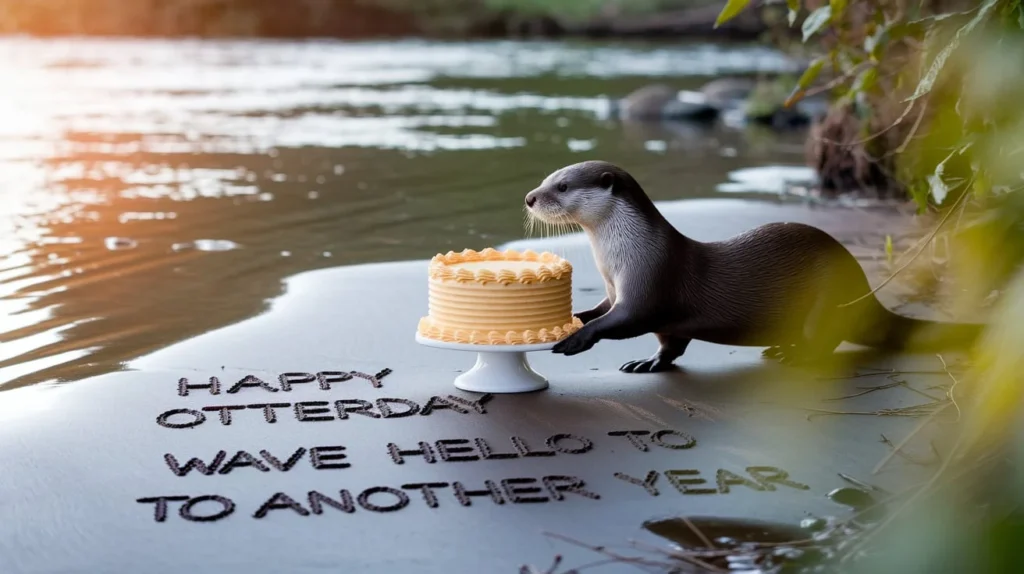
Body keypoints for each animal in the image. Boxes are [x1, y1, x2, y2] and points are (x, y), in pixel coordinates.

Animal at [523, 160, 984, 373]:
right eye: (546, 179)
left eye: (561, 185)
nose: (529, 196)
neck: (621, 255)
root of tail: (864, 289)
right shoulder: (613, 290)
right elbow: (646, 333)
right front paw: (584, 324)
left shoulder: (648, 284)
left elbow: (625, 320)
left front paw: (578, 339)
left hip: (826, 298)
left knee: (826, 340)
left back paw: (792, 356)